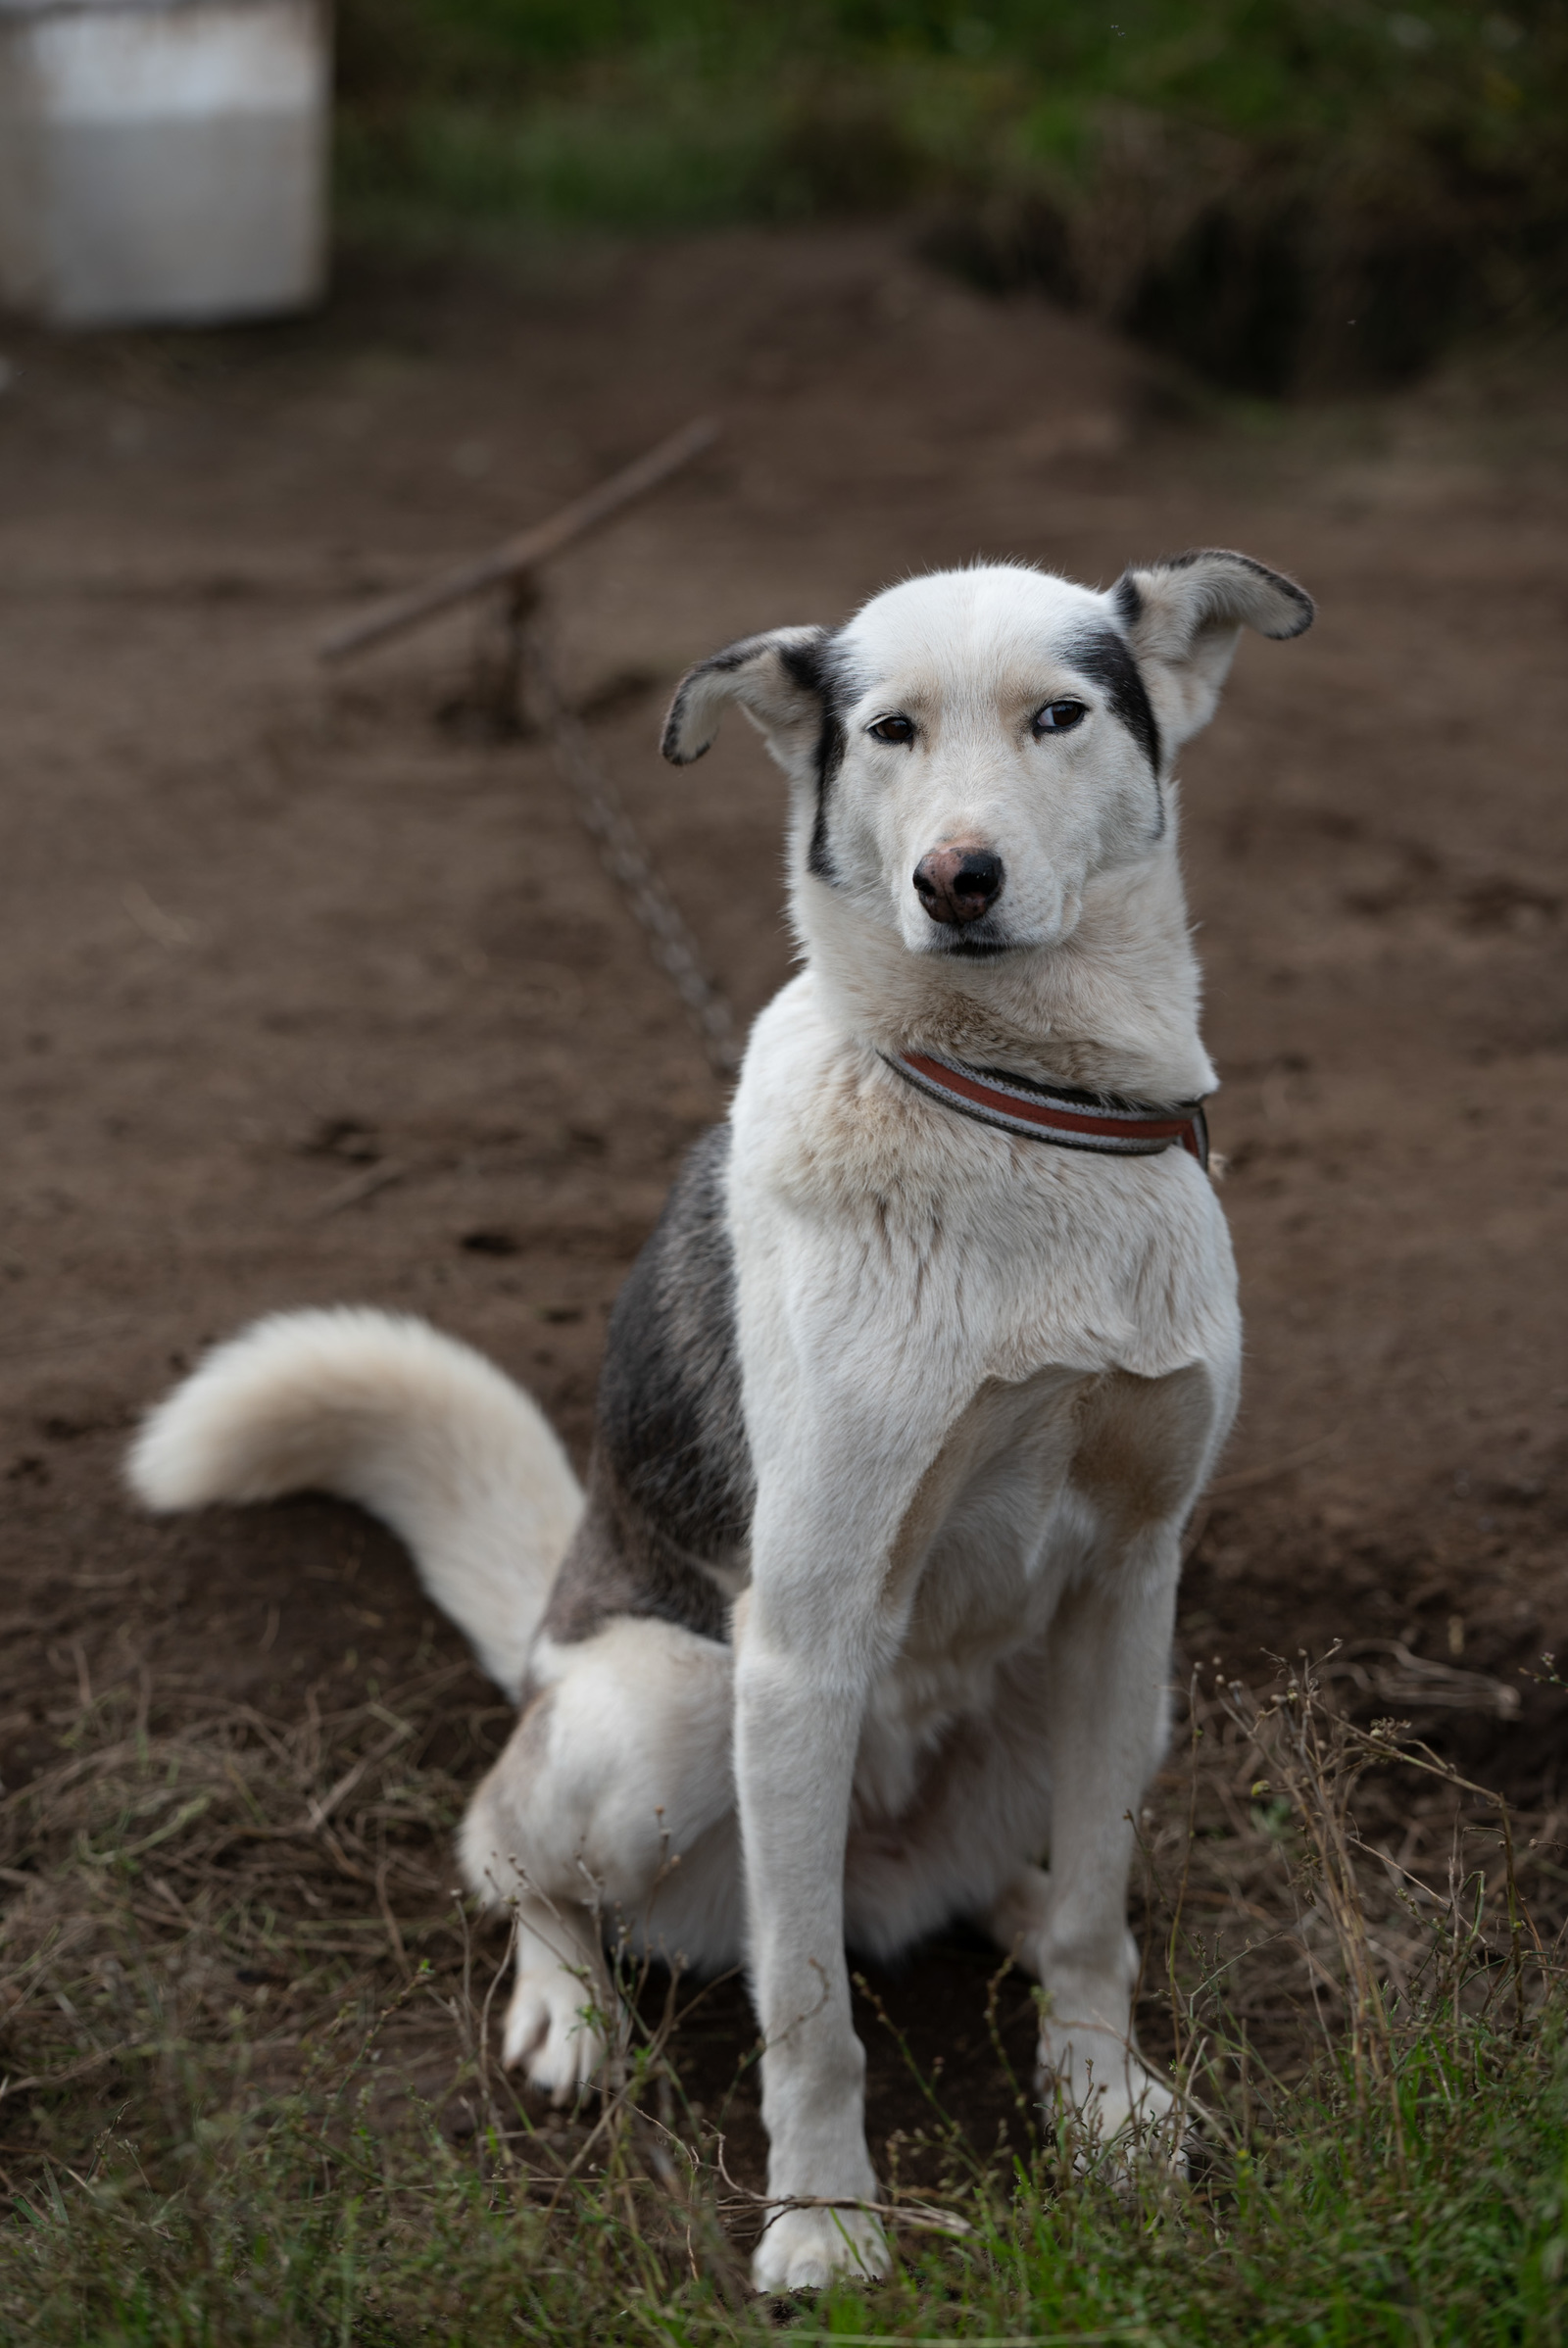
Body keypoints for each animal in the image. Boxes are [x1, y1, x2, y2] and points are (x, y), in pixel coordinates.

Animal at [131, 544, 1314, 2273]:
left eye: (1060, 715)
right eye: (888, 731)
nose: (957, 880)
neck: (1015, 1117)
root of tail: (549, 1621)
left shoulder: (1127, 1579)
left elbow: (1099, 1909)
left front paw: (1106, 2118)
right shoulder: (803, 1639)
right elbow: (808, 2010)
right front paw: (822, 2234)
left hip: (1095, 1699)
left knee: (1010, 1892)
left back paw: (1028, 1934)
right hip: (669, 1710)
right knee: (523, 1854)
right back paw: (568, 2013)